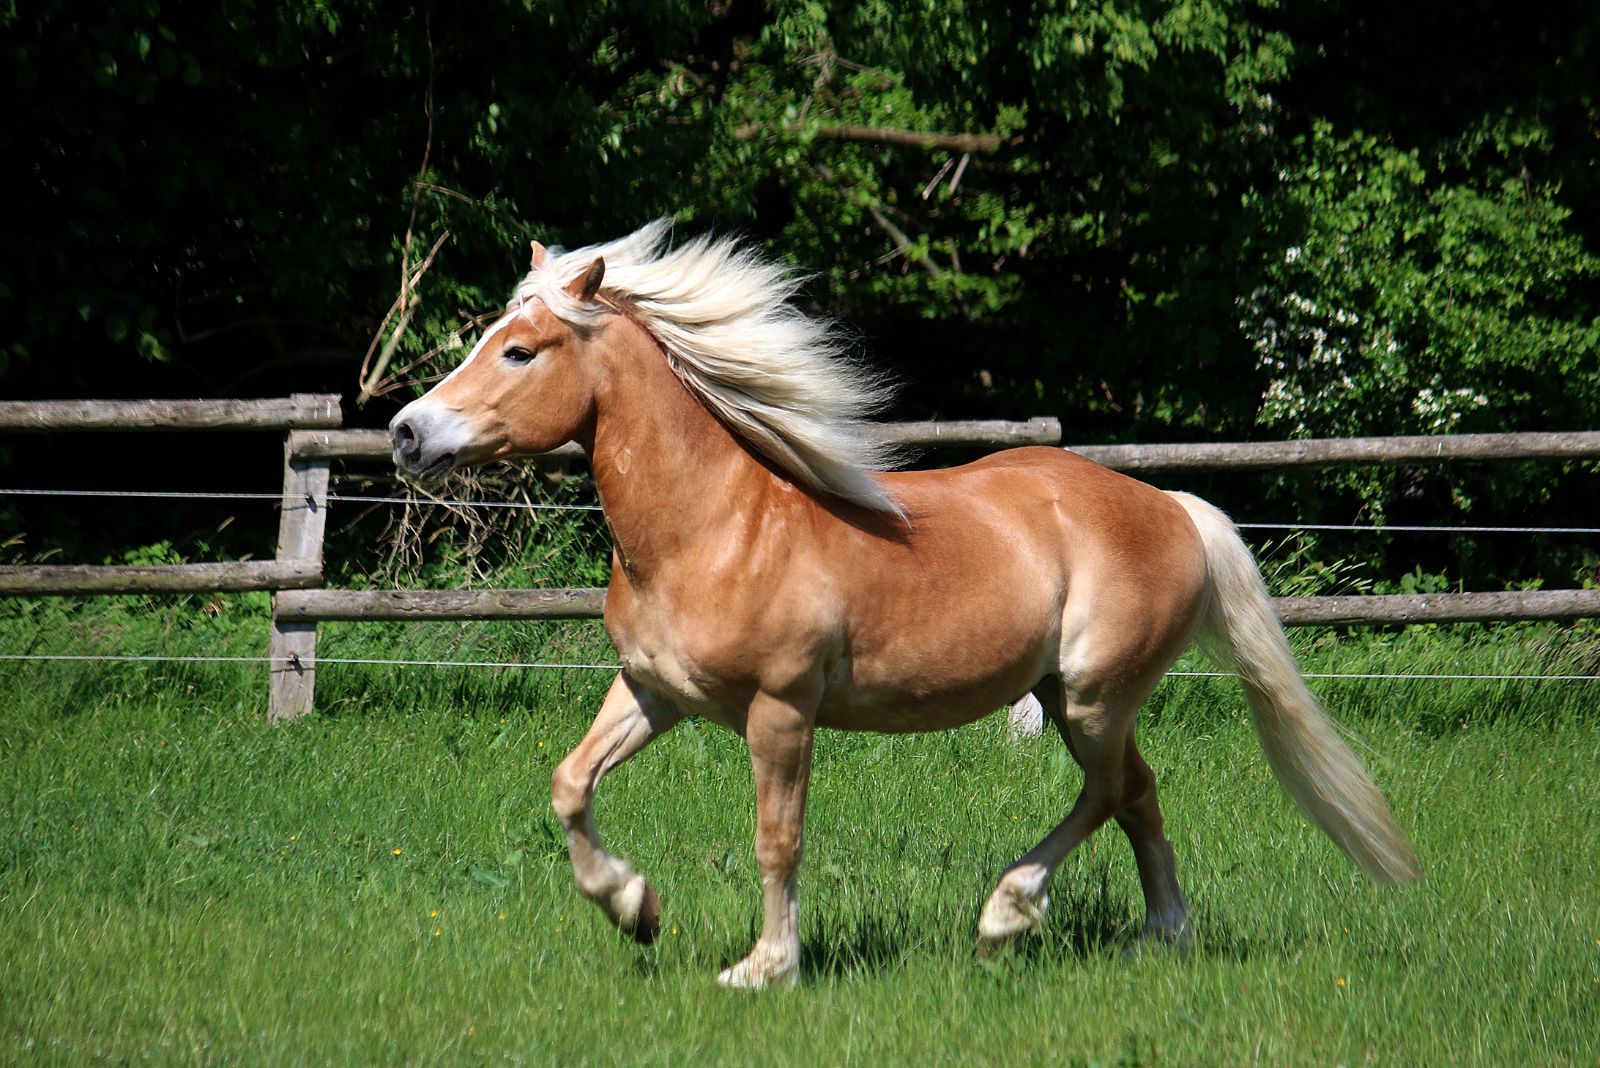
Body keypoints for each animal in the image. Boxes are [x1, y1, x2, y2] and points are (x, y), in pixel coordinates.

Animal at [393, 220, 1420, 991]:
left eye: (519, 350)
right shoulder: (654, 691)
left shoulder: (781, 712)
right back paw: (1158, 933)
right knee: (1138, 793)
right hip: (1065, 695)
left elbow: (777, 839)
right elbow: (571, 784)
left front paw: (765, 967)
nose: (406, 433)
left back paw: (1010, 915)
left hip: (1093, 694)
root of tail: (1171, 505)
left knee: (1112, 789)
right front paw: (635, 908)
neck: (715, 528)